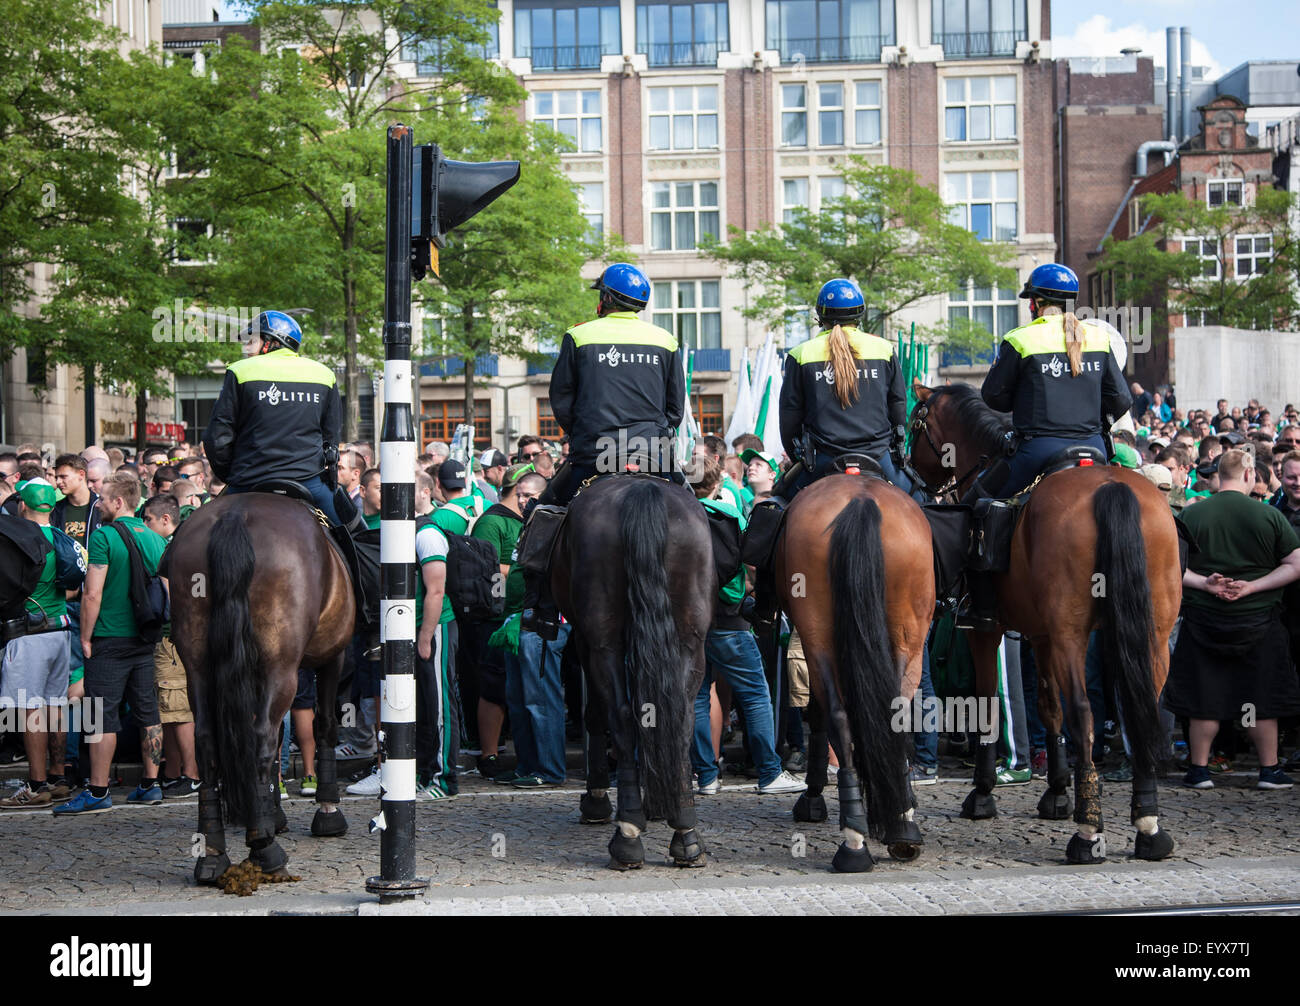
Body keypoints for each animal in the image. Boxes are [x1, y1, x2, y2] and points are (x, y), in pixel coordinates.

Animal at [166, 491, 356, 889]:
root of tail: (236, 515)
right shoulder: (334, 656)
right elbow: (324, 726)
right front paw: (328, 812)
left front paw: (272, 811)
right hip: (281, 666)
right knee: (262, 737)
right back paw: (265, 851)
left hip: (200, 667)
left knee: (208, 740)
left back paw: (213, 855)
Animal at [546, 475, 717, 868]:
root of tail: (642, 490)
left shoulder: (585, 640)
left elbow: (594, 715)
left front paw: (597, 800)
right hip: (690, 641)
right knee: (679, 716)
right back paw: (685, 832)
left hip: (604, 642)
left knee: (620, 717)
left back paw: (627, 835)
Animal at [769, 473, 935, 873]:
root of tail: (860, 501)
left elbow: (817, 714)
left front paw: (813, 797)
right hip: (907, 638)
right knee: (889, 715)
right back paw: (894, 827)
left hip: (818, 632)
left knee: (838, 715)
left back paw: (856, 839)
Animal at [909, 387, 1185, 868]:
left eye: (913, 424)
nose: (905, 468)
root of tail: (1110, 487)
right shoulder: (1041, 635)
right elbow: (1047, 706)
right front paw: (1057, 793)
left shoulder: (986, 631)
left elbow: (991, 705)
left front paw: (982, 795)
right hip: (1147, 635)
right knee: (1141, 711)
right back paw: (1148, 824)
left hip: (1073, 636)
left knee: (1085, 713)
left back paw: (1087, 834)